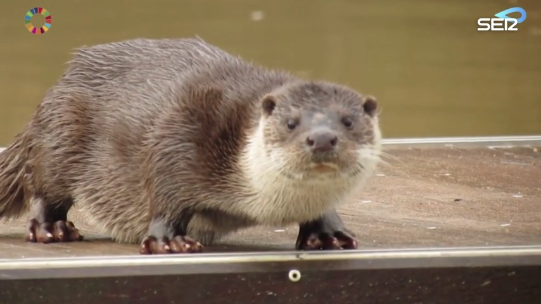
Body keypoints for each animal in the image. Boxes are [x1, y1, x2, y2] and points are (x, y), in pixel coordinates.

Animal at [0, 37, 380, 254]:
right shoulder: (185, 133)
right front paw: (168, 241)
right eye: (292, 122)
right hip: (60, 135)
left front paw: (329, 233)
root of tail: (63, 80)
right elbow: (167, 195)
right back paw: (52, 229)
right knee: (43, 187)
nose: (322, 138)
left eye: (348, 121)